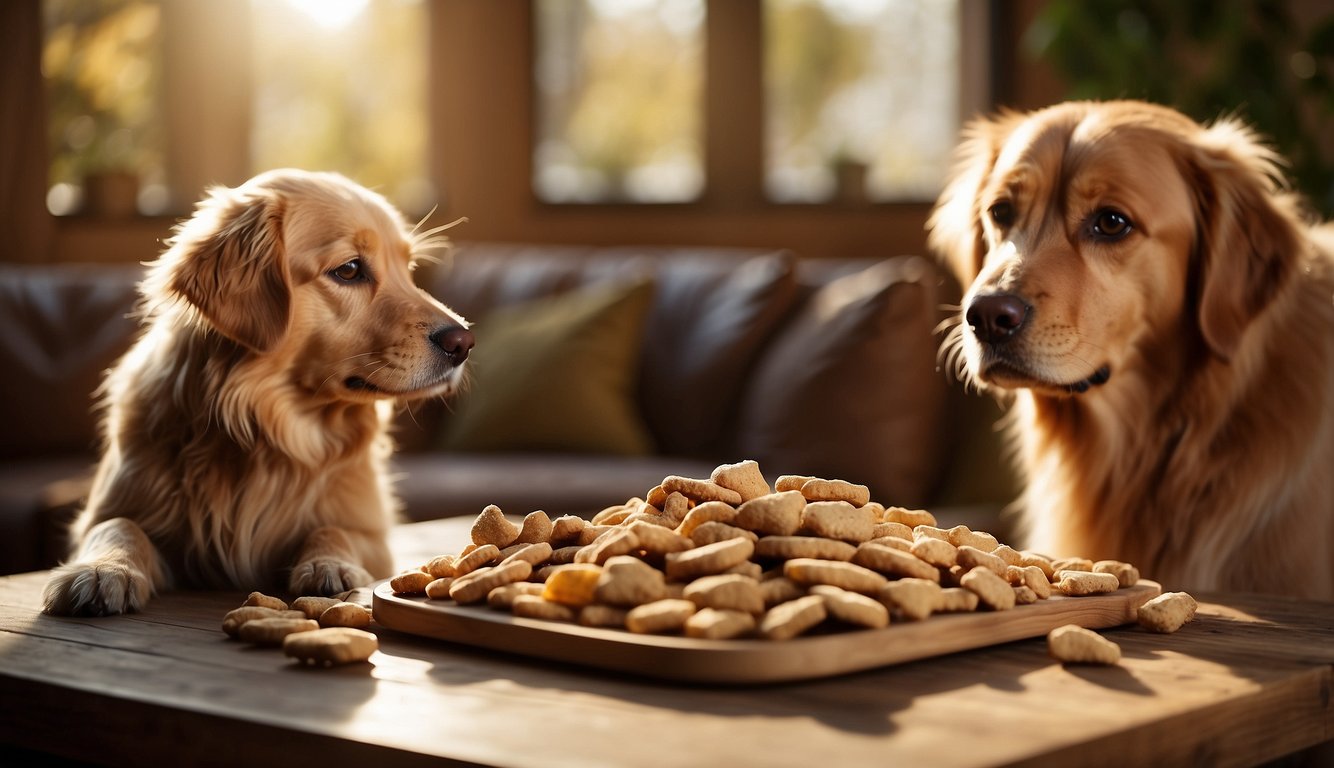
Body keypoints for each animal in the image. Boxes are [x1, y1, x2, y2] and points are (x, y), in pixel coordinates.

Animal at [44, 170, 474, 616]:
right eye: (350, 269)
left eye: (409, 269)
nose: (463, 342)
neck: (267, 429)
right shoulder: (111, 508)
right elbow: (118, 525)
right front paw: (103, 570)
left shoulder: (371, 532)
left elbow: (334, 528)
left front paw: (329, 563)